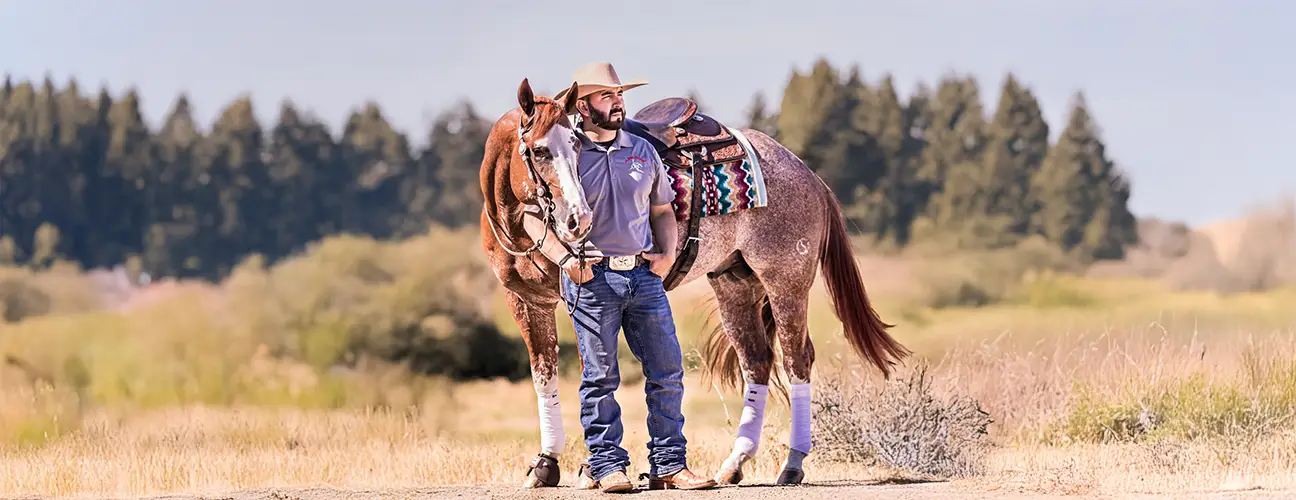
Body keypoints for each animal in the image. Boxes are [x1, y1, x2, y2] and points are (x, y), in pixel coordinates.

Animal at [478, 78, 911, 488]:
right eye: (538, 151)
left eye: (576, 145)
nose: (578, 219)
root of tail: (807, 173)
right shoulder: (527, 301)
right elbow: (544, 375)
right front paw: (546, 464)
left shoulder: (581, 302)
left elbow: (592, 374)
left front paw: (591, 470)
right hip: (735, 286)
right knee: (757, 362)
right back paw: (734, 464)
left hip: (785, 280)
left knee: (796, 360)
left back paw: (792, 464)